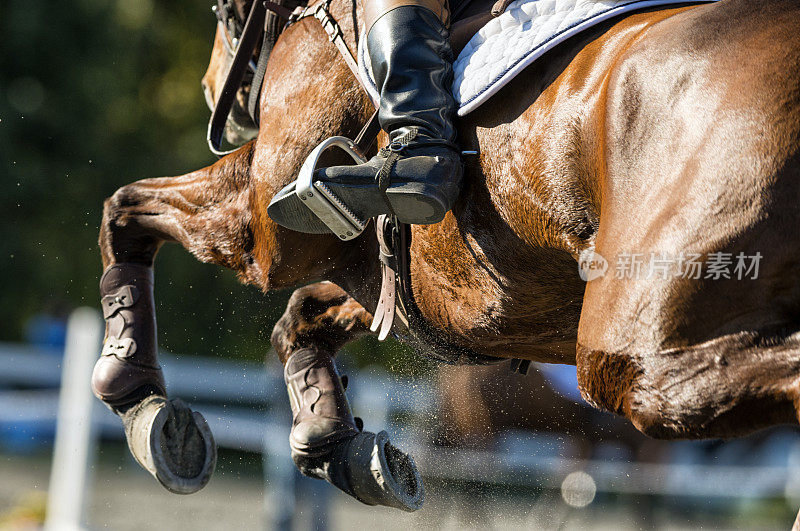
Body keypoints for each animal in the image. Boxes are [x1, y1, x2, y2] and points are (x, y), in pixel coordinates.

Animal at [94, 0, 800, 524]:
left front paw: (136, 394)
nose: (213, 87)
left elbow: (125, 208)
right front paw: (332, 440)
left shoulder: (261, 229)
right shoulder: (430, 290)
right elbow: (300, 319)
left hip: (634, 348)